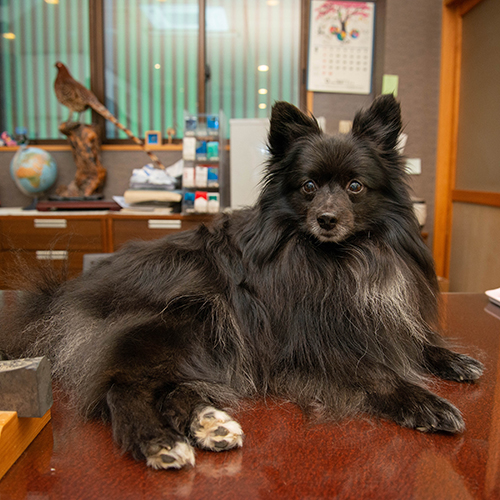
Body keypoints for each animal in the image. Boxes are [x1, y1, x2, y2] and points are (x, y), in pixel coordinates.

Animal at [0, 94, 484, 468]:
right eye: (308, 187)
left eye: (355, 186)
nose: (326, 219)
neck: (342, 259)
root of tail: (67, 294)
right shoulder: (313, 345)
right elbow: (377, 372)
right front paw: (424, 402)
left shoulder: (379, 319)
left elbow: (416, 341)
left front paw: (453, 359)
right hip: (189, 317)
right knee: (121, 389)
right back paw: (159, 443)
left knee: (172, 389)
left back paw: (209, 425)